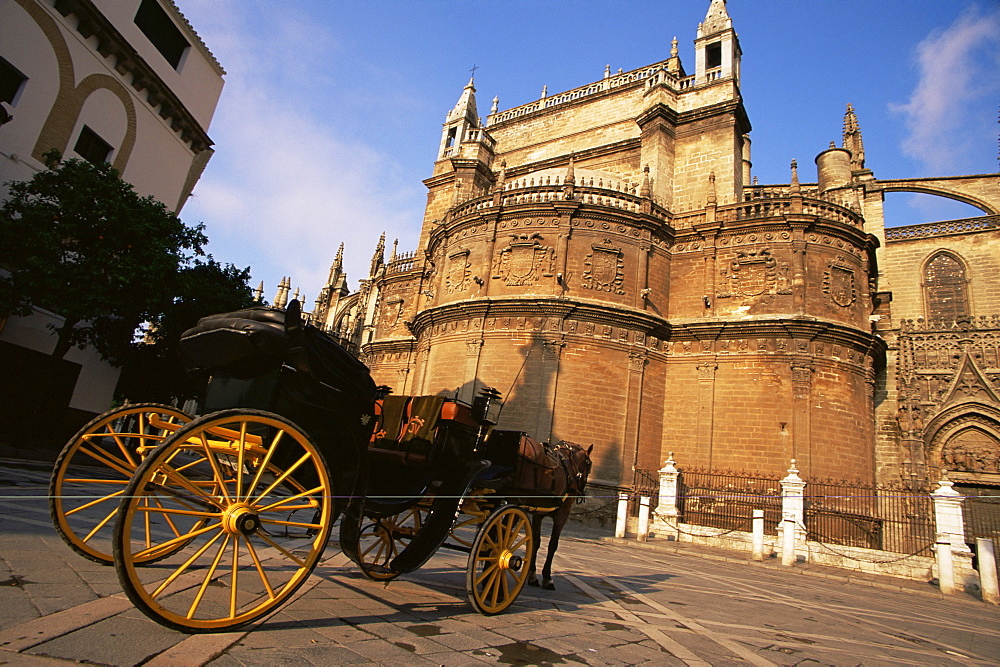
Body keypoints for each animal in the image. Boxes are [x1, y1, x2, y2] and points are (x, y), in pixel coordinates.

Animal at [528, 444, 588, 588]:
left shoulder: (538, 512)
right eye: (589, 465)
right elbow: (552, 544)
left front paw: (532, 574)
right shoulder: (562, 514)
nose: (581, 491)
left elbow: (536, 541)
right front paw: (546, 577)